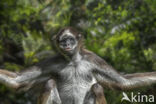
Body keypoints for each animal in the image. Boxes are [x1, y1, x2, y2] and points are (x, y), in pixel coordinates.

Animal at [0, 26, 156, 104]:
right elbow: (17, 81)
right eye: (63, 41)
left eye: (70, 39)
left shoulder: (92, 59)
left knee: (97, 87)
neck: (73, 62)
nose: (66, 45)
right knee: (49, 83)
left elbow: (124, 82)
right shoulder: (53, 61)